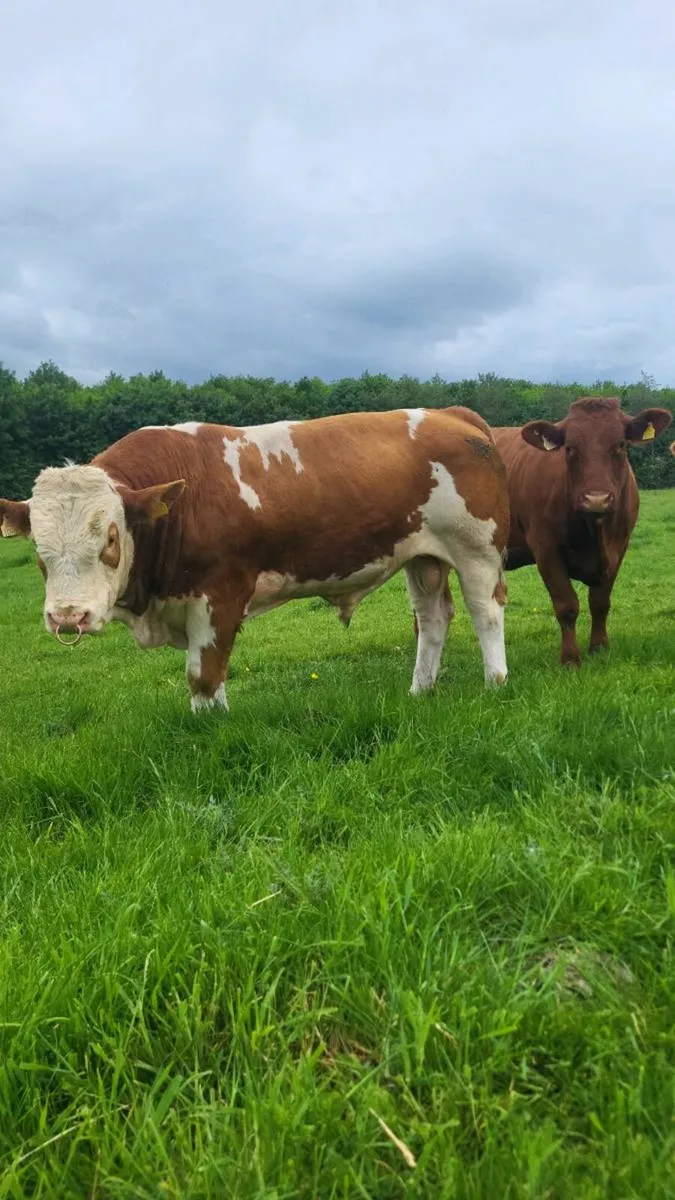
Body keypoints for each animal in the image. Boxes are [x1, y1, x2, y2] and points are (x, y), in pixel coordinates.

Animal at [0, 407, 510, 711]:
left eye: (109, 537)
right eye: (37, 547)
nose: (69, 616)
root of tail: (450, 413)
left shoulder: (219, 595)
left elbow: (203, 674)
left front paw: (209, 728)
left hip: (476, 549)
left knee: (485, 610)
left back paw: (496, 682)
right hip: (422, 558)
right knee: (432, 618)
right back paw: (420, 689)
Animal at [493, 397, 672, 666]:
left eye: (620, 444)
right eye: (569, 449)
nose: (596, 499)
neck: (595, 533)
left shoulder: (619, 548)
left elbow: (600, 602)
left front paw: (599, 648)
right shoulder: (546, 549)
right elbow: (566, 605)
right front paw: (570, 658)